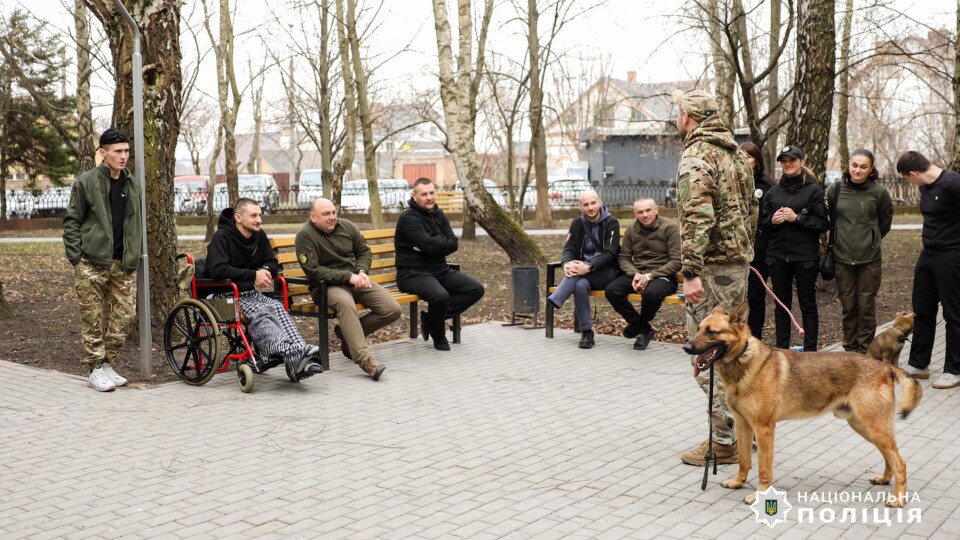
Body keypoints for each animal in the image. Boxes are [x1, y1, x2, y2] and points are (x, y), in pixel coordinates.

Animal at [684, 302, 924, 508]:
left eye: (711, 332)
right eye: (698, 328)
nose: (686, 347)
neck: (743, 363)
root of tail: (884, 367)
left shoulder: (763, 429)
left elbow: (763, 469)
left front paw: (759, 494)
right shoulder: (743, 425)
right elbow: (744, 459)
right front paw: (738, 482)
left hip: (873, 427)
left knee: (899, 462)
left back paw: (898, 498)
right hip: (866, 427)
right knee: (889, 457)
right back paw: (884, 479)